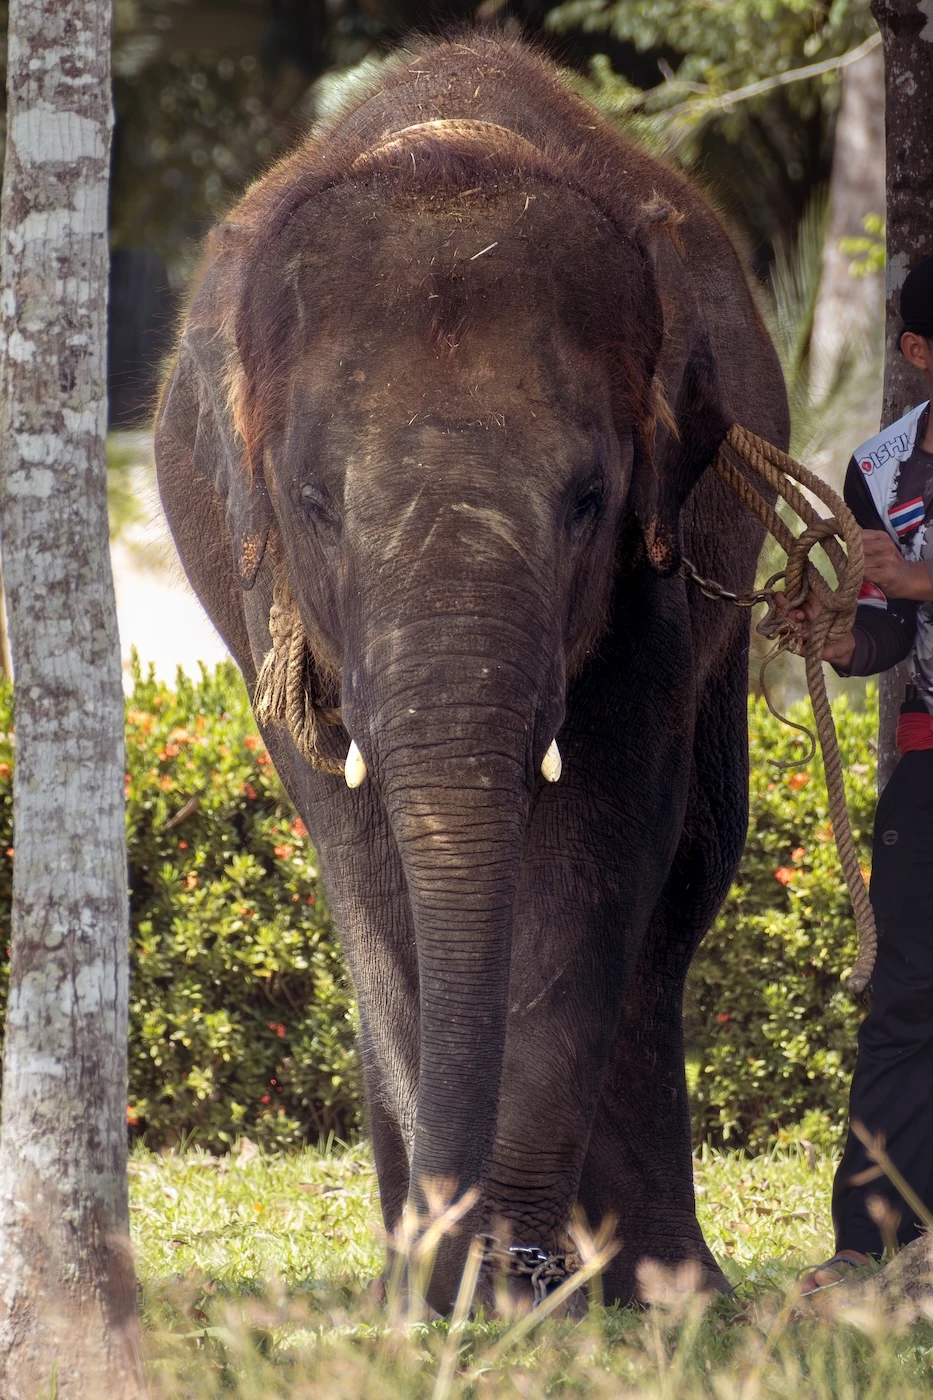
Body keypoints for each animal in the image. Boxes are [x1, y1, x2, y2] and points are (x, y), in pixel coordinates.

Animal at [154, 32, 789, 1311]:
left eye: (588, 499)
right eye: (314, 503)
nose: (459, 1270)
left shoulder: (656, 564)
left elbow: (599, 844)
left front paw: (516, 1294)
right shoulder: (270, 593)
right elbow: (366, 860)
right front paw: (439, 1294)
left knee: (688, 883)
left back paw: (671, 1291)